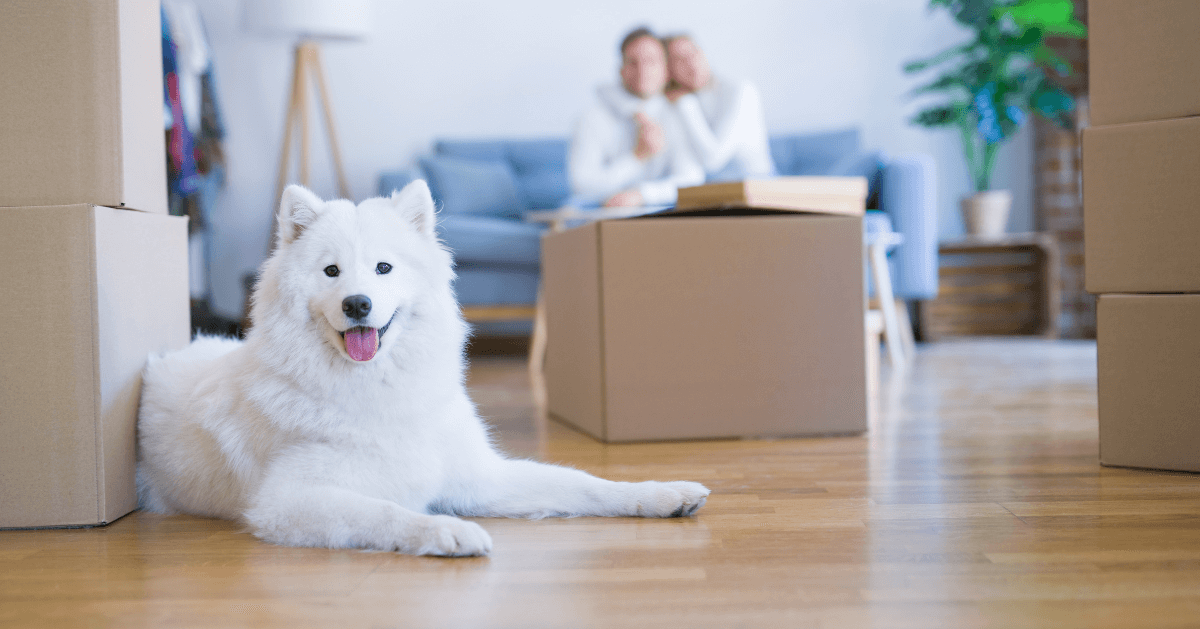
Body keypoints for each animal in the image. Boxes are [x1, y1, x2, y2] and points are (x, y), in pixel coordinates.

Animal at [136, 180, 705, 554]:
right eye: (331, 271)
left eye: (384, 268)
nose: (358, 304)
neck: (379, 387)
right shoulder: (289, 501)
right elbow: (385, 511)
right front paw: (445, 532)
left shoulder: (480, 477)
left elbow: (584, 483)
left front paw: (662, 494)